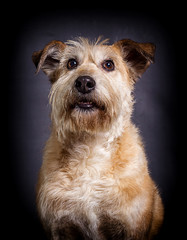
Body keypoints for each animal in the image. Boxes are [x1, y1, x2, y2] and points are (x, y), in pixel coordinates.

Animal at [32, 37, 164, 240]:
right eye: (71, 63)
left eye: (109, 64)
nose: (84, 82)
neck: (90, 145)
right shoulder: (59, 227)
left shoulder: (132, 227)